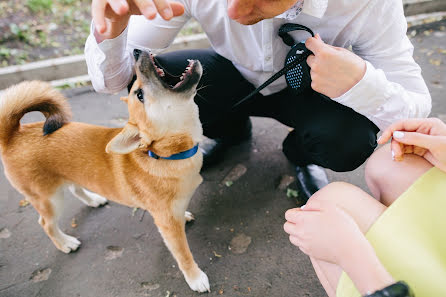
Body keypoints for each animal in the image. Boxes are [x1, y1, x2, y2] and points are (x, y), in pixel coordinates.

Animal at [0, 49, 211, 292]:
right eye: (139, 94)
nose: (136, 51)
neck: (167, 155)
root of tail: (13, 135)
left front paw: (184, 215)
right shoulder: (168, 226)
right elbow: (183, 255)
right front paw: (195, 278)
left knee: (74, 188)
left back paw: (93, 200)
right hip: (50, 200)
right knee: (46, 224)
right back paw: (65, 243)